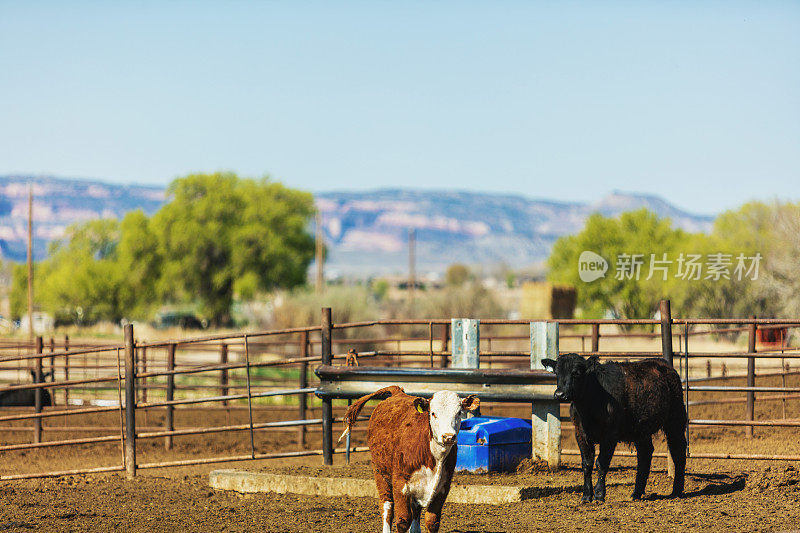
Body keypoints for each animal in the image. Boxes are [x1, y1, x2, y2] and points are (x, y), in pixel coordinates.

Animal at [340, 386, 478, 532]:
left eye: (459, 413)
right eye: (433, 413)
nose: (448, 437)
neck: (434, 458)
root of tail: (397, 391)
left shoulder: (443, 486)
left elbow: (432, 521)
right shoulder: (400, 484)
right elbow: (403, 520)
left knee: (415, 509)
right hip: (379, 472)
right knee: (387, 506)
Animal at [544, 356, 688, 500]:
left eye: (576, 373)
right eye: (556, 372)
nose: (559, 394)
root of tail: (663, 363)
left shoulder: (610, 435)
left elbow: (601, 463)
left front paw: (599, 494)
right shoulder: (580, 433)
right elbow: (587, 464)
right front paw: (586, 495)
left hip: (675, 419)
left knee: (678, 450)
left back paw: (676, 490)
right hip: (640, 429)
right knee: (645, 453)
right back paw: (637, 493)